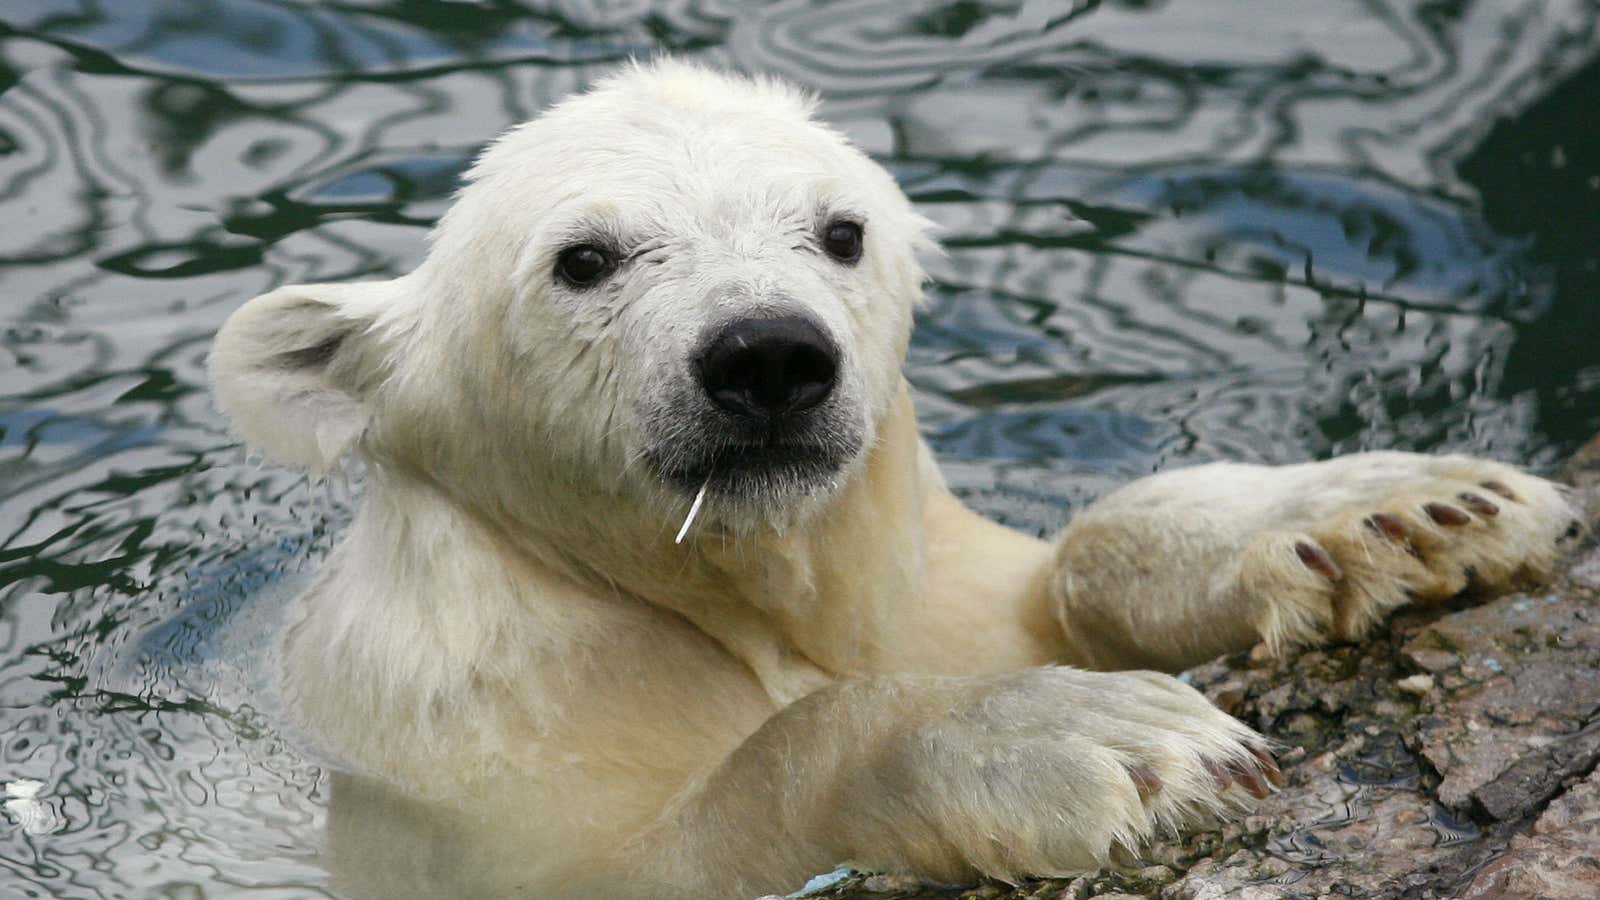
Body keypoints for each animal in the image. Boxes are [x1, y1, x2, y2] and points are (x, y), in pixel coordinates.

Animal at [206, 59, 1580, 890]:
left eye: (840, 230)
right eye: (582, 258)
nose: (767, 355)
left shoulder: (932, 580)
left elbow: (1058, 571)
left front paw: (1402, 512)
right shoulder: (473, 745)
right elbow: (674, 834)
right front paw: (1100, 741)